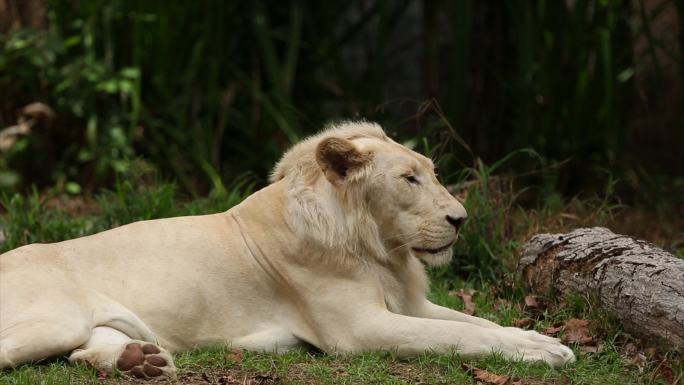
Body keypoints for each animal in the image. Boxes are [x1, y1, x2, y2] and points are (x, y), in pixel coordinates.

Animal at [0, 122, 576, 378]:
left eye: (431, 173)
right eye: (409, 179)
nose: (461, 220)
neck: (379, 250)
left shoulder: (410, 304)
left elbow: (477, 323)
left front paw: (543, 340)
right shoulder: (359, 330)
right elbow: (458, 337)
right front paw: (543, 353)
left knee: (84, 350)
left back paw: (140, 361)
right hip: (55, 318)